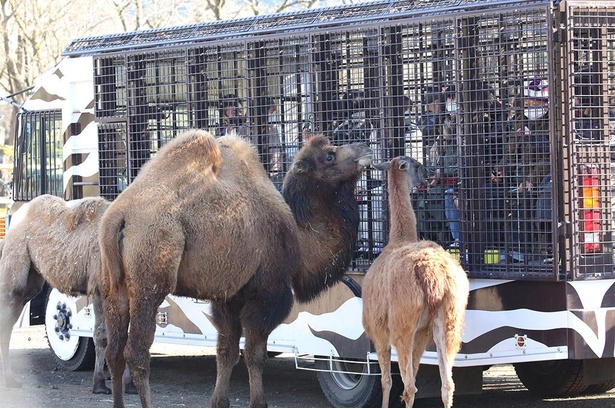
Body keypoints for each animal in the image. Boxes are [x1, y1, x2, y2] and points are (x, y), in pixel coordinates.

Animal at [364, 155, 470, 404]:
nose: (429, 173)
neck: (399, 239)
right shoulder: (421, 333)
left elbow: (386, 380)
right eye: (417, 164)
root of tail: (433, 277)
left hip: (403, 324)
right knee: (447, 384)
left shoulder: (378, 328)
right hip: (448, 320)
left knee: (409, 386)